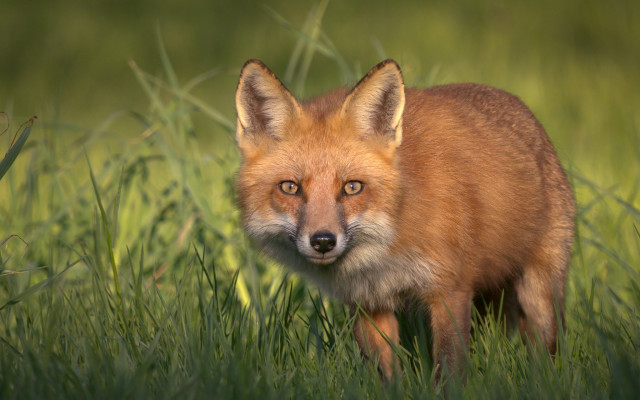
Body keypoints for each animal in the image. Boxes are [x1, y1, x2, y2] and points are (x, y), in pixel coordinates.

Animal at [234, 59, 575, 381]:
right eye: (290, 188)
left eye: (352, 187)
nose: (322, 241)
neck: (386, 244)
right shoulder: (367, 303)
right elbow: (385, 373)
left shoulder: (450, 289)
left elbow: (449, 369)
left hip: (539, 294)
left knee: (546, 350)